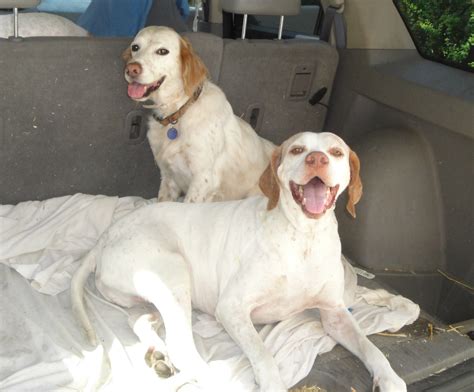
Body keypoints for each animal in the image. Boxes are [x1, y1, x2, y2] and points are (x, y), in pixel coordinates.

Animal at [71, 132, 408, 392]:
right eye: (297, 150)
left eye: (336, 152)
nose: (317, 160)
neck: (303, 237)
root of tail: (107, 235)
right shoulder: (232, 308)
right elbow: (263, 356)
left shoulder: (335, 314)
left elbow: (372, 349)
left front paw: (390, 379)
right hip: (172, 274)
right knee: (182, 345)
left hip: (152, 295)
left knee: (140, 320)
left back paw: (157, 354)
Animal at [122, 26, 274, 202]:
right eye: (135, 47)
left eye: (162, 51)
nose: (131, 69)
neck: (178, 112)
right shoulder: (168, 177)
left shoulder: (203, 179)